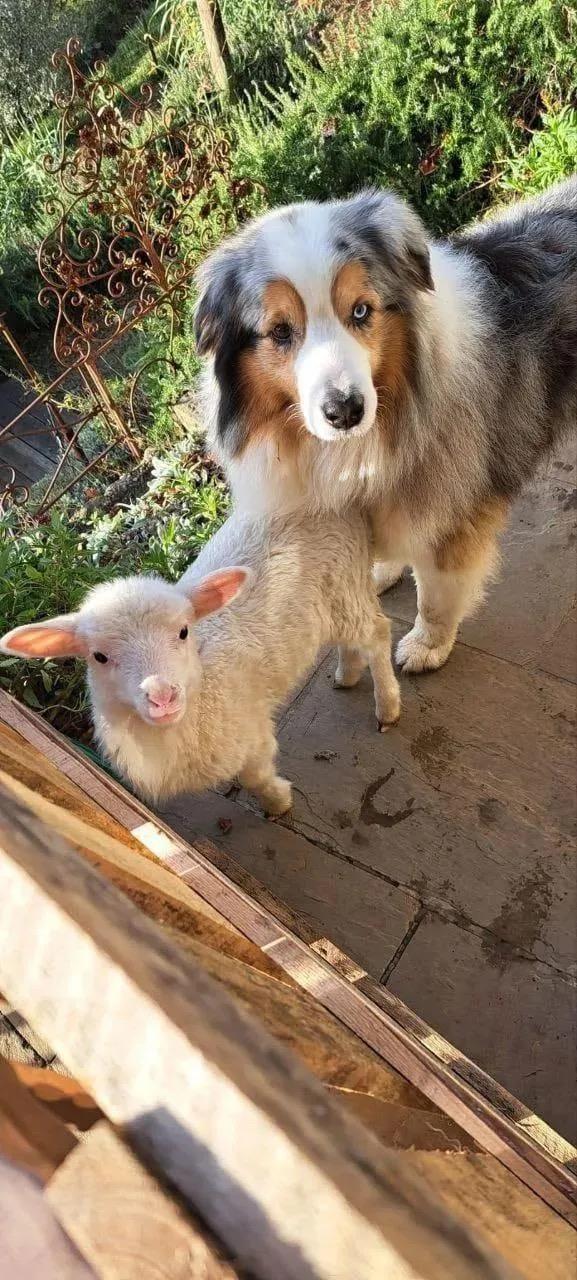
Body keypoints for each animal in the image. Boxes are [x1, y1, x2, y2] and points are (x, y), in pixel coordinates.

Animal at [0, 510, 401, 814]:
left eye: (183, 632)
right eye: (99, 656)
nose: (162, 696)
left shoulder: (251, 732)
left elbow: (253, 777)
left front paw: (278, 804)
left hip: (344, 585)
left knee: (378, 633)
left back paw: (388, 705)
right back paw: (347, 674)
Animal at [194, 178, 577, 673]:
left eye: (361, 311)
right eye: (280, 331)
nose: (344, 411)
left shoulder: (453, 510)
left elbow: (435, 593)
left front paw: (426, 646)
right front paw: (378, 569)